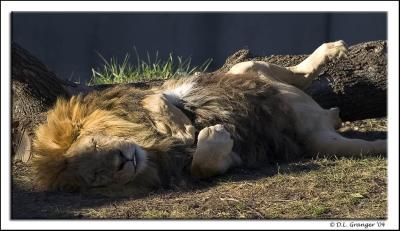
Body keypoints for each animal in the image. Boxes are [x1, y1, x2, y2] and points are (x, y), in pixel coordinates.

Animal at [32, 40, 386, 196]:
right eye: (97, 178)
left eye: (93, 146)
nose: (122, 163)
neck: (150, 147)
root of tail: (326, 116)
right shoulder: (228, 159)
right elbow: (204, 165)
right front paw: (213, 134)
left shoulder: (156, 90)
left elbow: (155, 99)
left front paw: (182, 127)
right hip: (322, 142)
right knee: (363, 145)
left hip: (243, 70)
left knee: (295, 72)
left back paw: (331, 50)